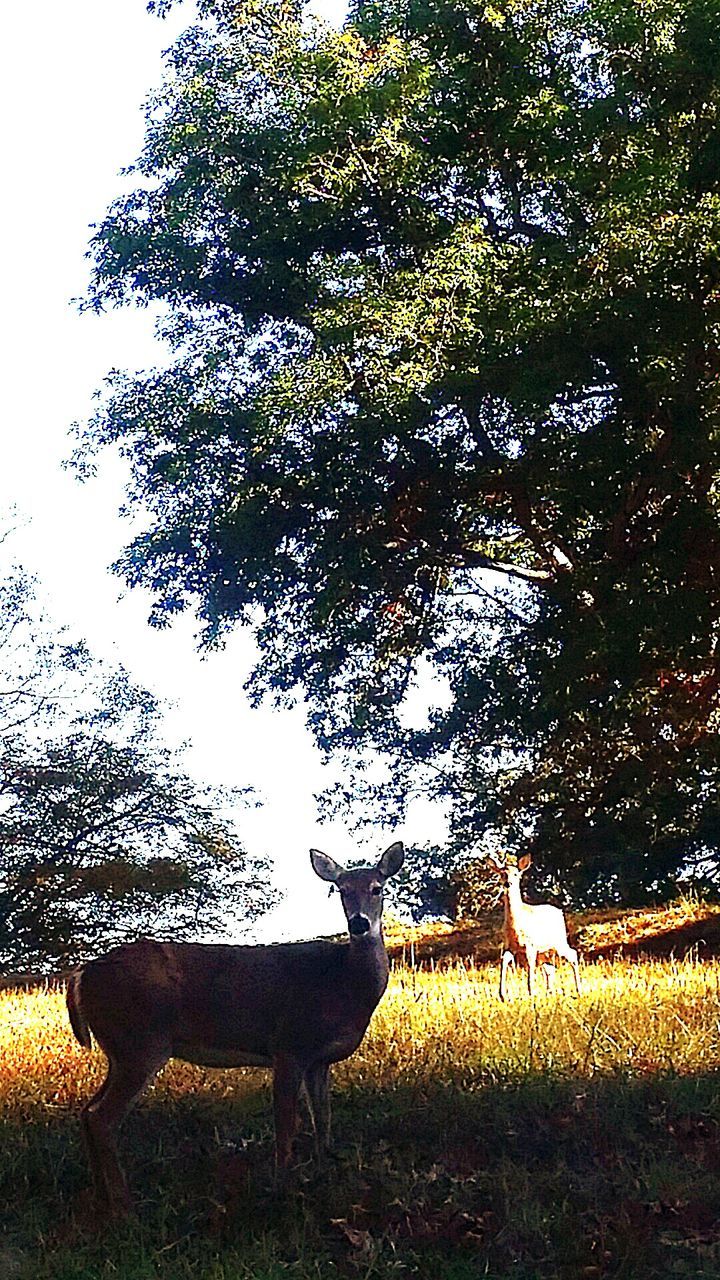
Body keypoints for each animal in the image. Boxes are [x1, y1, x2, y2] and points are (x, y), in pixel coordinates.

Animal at [65, 844, 404, 1213]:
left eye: (377, 888)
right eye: (341, 890)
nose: (358, 923)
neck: (342, 983)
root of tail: (81, 975)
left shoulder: (319, 1060)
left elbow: (322, 1121)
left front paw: (324, 1174)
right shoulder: (289, 1044)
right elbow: (286, 1124)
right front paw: (282, 1190)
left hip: (120, 1050)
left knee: (87, 1112)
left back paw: (101, 1198)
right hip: (141, 1043)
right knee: (102, 1118)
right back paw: (124, 1207)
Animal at [484, 855, 579, 1003]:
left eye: (516, 874)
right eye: (503, 874)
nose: (508, 883)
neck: (516, 929)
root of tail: (560, 912)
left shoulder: (531, 945)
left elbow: (530, 967)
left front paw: (531, 993)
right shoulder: (508, 946)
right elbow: (504, 961)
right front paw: (502, 994)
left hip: (559, 942)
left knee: (572, 954)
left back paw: (578, 991)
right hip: (545, 951)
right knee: (550, 968)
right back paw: (550, 993)